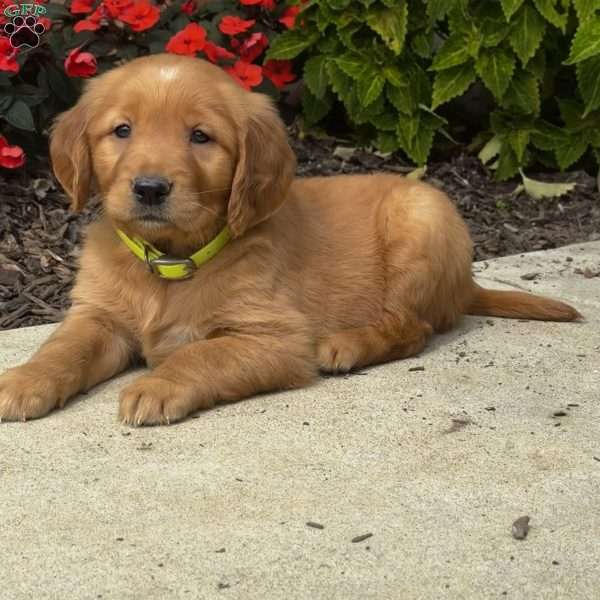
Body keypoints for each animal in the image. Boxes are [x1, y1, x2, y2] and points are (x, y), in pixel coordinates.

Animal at [0, 54, 580, 424]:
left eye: (200, 137)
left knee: (412, 328)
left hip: (421, 221)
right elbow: (63, 348)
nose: (149, 188)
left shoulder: (275, 339)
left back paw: (347, 344)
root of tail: (464, 284)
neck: (171, 264)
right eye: (122, 130)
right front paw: (24, 380)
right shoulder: (98, 318)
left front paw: (157, 385)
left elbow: (201, 355)